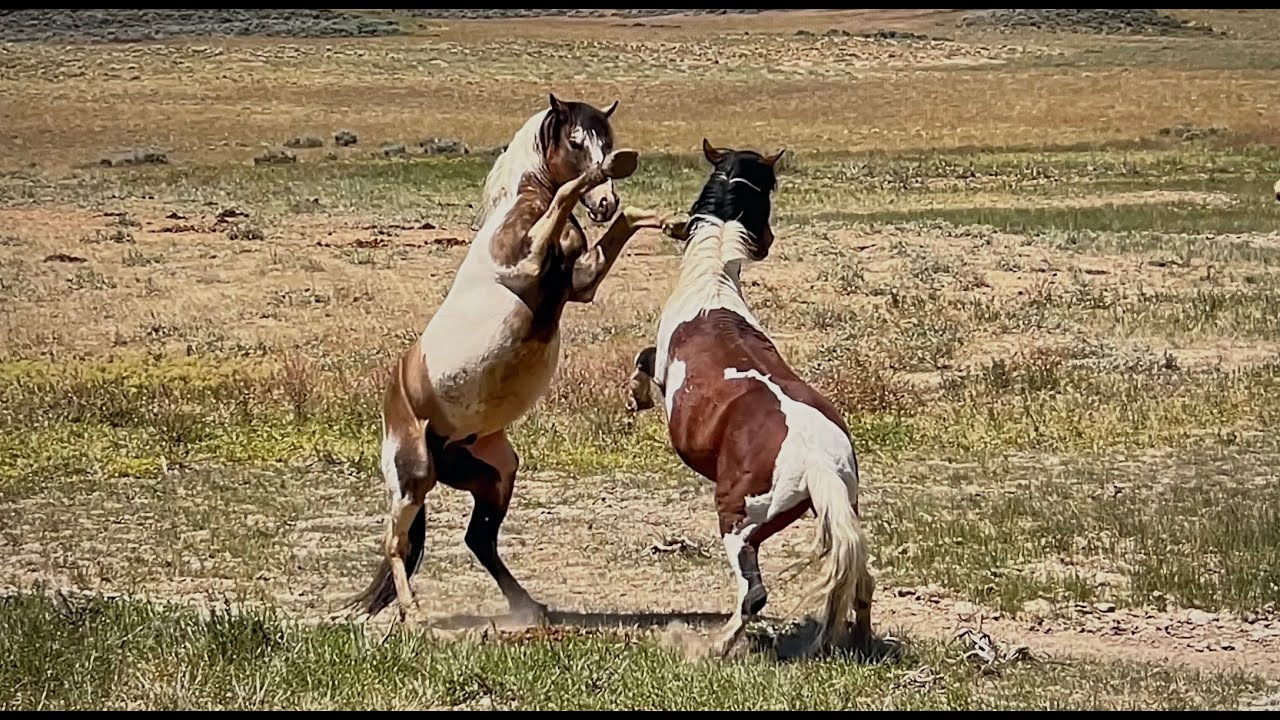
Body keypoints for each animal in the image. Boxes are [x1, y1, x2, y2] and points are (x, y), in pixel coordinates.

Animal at [347, 94, 673, 625]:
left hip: (494, 474)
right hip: (412, 477)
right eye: (576, 140)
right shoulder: (528, 264)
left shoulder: (581, 281)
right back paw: (415, 616)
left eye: (608, 137)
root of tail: (396, 399)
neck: (520, 211)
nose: (606, 202)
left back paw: (530, 608)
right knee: (397, 543)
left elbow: (621, 228)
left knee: (477, 538)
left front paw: (673, 222)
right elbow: (566, 196)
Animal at [625, 139, 875, 658]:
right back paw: (858, 641)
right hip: (843, 510)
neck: (711, 286)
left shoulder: (661, 365)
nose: (770, 239)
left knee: (753, 594)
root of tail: (818, 459)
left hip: (738, 524)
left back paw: (714, 647)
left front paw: (633, 398)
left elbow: (641, 359)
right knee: (862, 581)